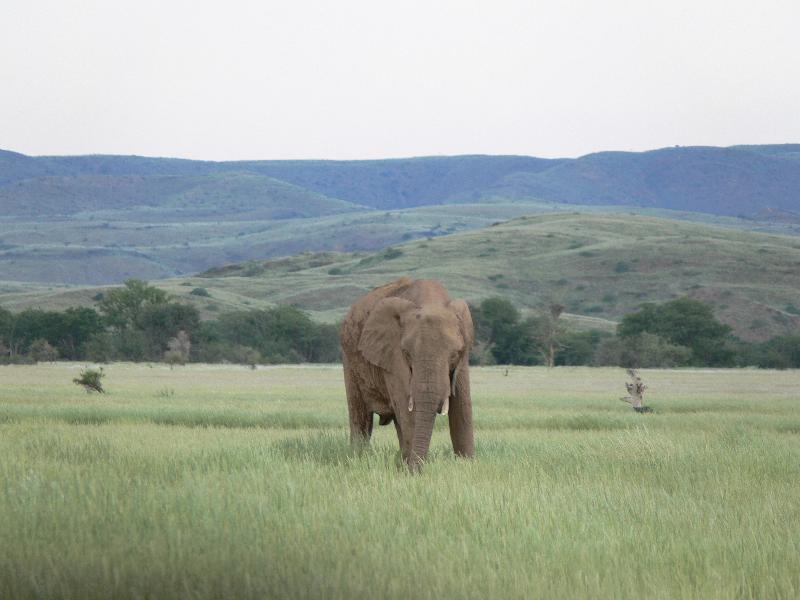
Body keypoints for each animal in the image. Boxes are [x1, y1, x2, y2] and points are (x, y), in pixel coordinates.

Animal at [340, 278, 476, 474]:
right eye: (407, 353)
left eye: (454, 354)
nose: (416, 471)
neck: (430, 301)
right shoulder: (393, 356)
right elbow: (407, 409)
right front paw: (412, 473)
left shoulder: (463, 360)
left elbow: (462, 410)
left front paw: (467, 467)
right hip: (349, 360)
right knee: (361, 418)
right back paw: (357, 461)